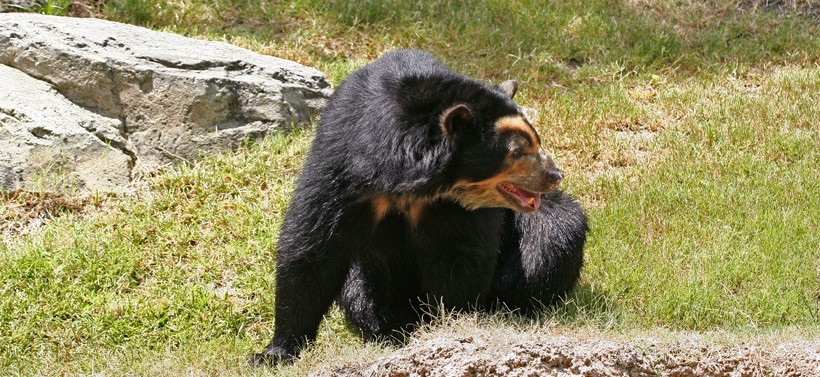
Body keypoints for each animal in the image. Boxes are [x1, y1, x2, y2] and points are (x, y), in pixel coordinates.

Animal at [247, 50, 588, 364]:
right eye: (516, 151)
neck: (411, 181)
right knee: (358, 292)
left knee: (554, 233)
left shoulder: (452, 205)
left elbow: (459, 254)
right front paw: (274, 353)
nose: (554, 175)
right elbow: (314, 247)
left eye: (536, 141)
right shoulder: (342, 166)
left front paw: (447, 329)